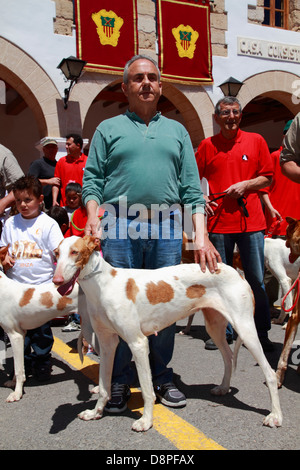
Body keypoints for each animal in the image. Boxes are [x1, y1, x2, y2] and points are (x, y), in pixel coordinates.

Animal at [52, 237, 282, 432]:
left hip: (245, 328)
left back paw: (275, 416)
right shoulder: (108, 343)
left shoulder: (138, 343)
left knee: (269, 373)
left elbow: (147, 389)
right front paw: (96, 412)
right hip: (215, 327)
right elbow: (103, 386)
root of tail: (236, 272)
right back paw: (224, 388)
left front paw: (146, 421)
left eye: (75, 252)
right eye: (56, 253)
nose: (56, 280)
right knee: (228, 357)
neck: (104, 285)